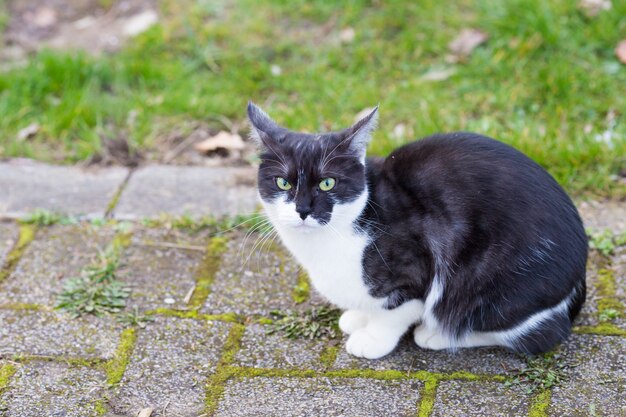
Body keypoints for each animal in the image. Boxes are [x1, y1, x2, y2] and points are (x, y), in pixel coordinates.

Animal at [247, 102, 584, 360]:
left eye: (327, 183)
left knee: (536, 332)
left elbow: (394, 310)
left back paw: (437, 335)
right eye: (283, 183)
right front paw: (358, 317)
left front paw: (373, 338)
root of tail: (579, 275)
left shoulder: (411, 271)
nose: (303, 209)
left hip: (493, 286)